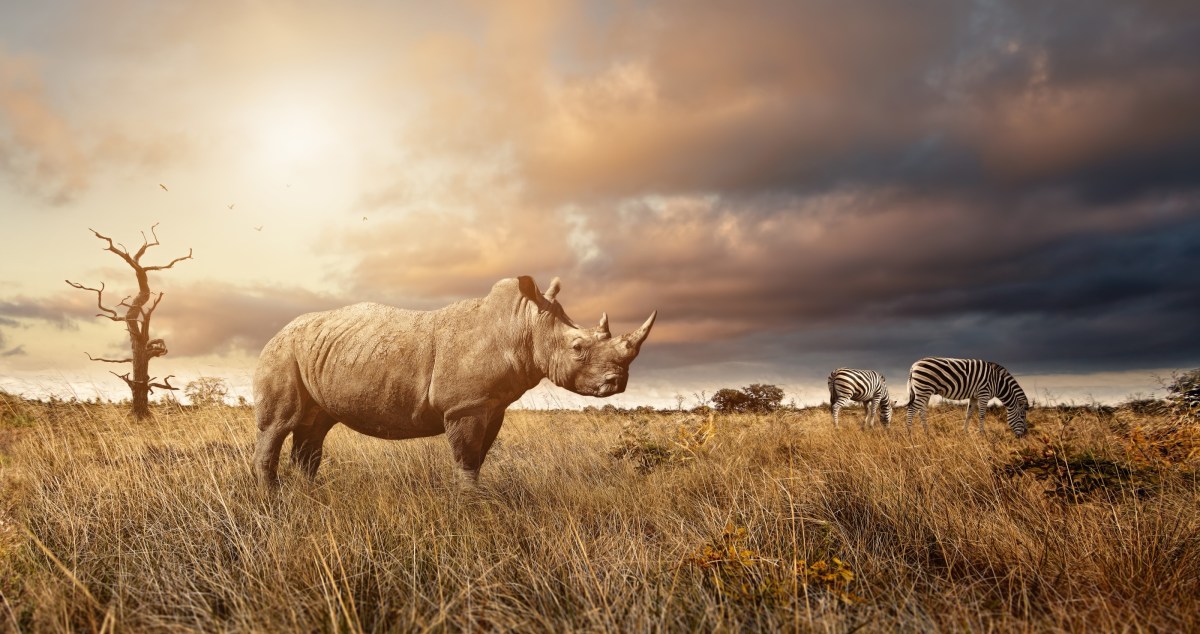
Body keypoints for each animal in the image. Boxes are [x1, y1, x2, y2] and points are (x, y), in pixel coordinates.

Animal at [253, 276, 656, 488]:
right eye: (577, 348)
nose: (617, 383)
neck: (521, 326)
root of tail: (275, 334)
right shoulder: (465, 406)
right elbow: (465, 460)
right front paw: (470, 509)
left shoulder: (491, 406)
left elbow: (477, 459)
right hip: (281, 352)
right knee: (279, 424)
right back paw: (272, 500)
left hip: (312, 353)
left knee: (314, 428)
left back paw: (309, 497)